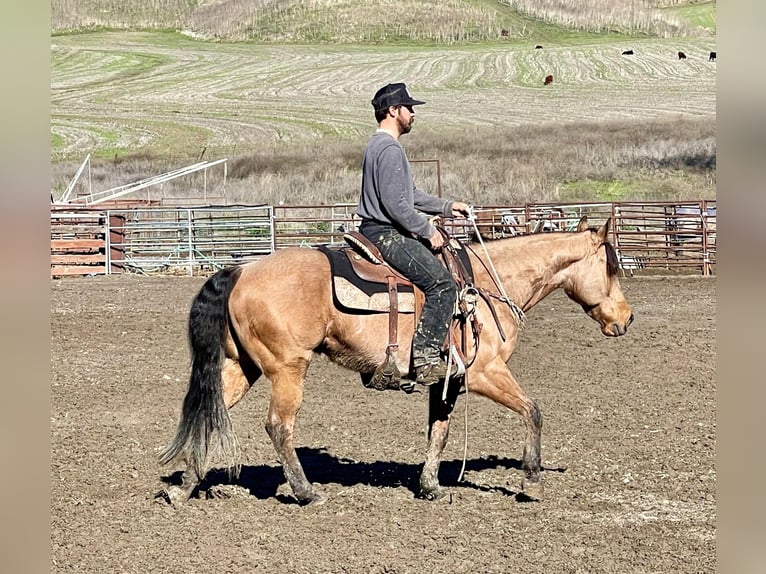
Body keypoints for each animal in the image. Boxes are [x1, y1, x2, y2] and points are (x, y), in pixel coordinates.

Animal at [159, 217, 632, 508]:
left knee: (211, 410)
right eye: (612, 266)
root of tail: (241, 270)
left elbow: (439, 433)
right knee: (279, 426)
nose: (626, 319)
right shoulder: (485, 373)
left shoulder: (448, 381)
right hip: (287, 368)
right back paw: (307, 492)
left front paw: (430, 487)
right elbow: (533, 411)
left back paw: (184, 488)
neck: (485, 288)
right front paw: (530, 477)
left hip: (245, 366)